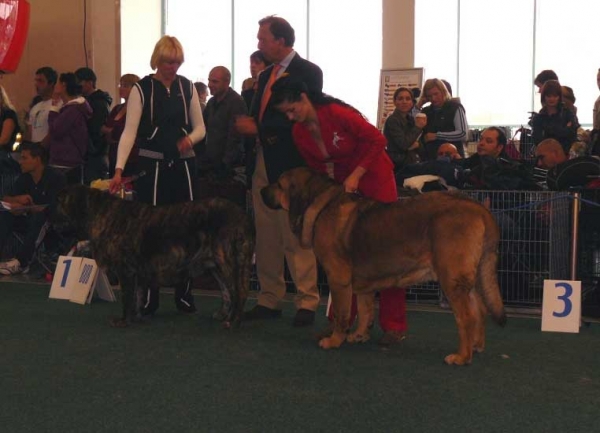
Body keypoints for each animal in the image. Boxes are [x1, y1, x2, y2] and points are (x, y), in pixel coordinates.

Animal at [54, 185, 255, 328]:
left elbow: (127, 297)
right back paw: (225, 315)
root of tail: (243, 215)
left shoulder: (125, 270)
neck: (102, 214)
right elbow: (138, 296)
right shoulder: (137, 273)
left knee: (239, 291)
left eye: (60, 202)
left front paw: (124, 320)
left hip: (227, 260)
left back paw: (233, 321)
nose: (48, 214)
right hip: (216, 266)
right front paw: (136, 317)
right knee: (228, 292)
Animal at [262, 166, 506, 364]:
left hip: (451, 279)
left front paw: (334, 340)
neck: (321, 203)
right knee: (480, 309)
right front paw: (359, 335)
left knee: (467, 317)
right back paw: (476, 345)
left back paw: (462, 356)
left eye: (279, 184)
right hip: (467, 279)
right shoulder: (363, 284)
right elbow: (365, 309)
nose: (262, 190)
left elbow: (342, 313)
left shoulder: (338, 279)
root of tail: (477, 206)